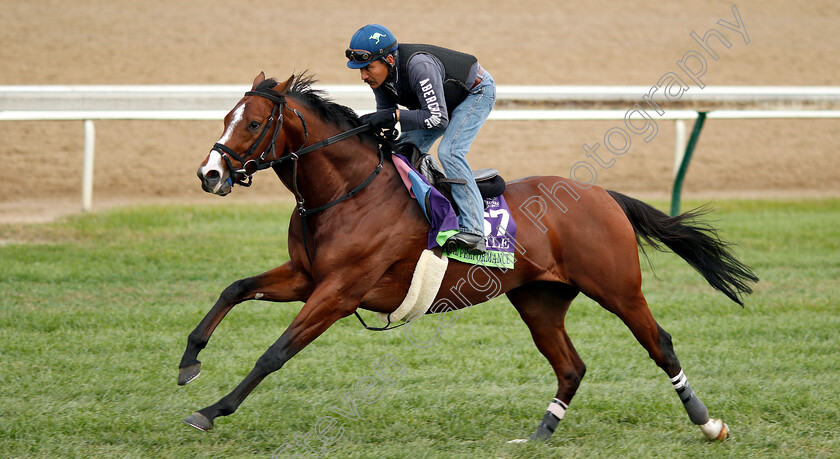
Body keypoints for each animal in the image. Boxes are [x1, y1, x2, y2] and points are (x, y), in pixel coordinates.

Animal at [184, 72, 760, 442]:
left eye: (252, 124)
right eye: (227, 115)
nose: (210, 173)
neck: (347, 193)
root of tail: (602, 195)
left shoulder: (339, 290)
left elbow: (274, 353)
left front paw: (212, 410)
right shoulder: (307, 276)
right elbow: (234, 288)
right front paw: (190, 360)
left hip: (618, 288)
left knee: (659, 343)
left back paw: (709, 423)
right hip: (539, 300)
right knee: (571, 367)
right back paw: (540, 435)